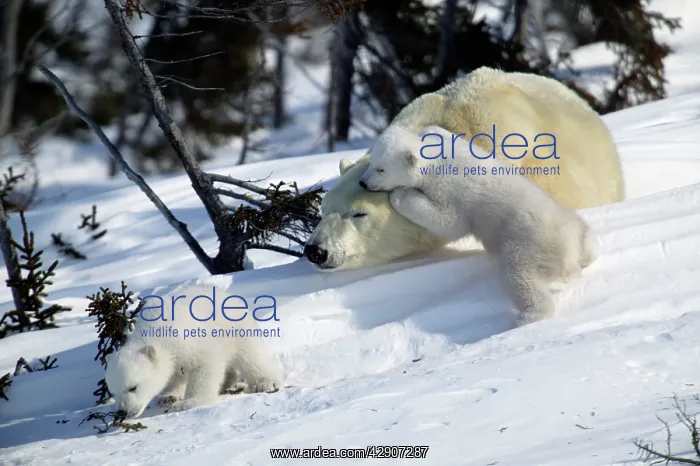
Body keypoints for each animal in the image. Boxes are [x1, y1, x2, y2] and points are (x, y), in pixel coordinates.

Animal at [104, 284, 283, 418]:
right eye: (113, 392)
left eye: (133, 387)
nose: (123, 412)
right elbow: (173, 375)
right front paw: (168, 397)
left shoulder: (192, 341)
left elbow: (204, 368)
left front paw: (186, 403)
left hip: (236, 329)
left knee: (250, 356)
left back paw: (265, 382)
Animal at [359, 125, 598, 326]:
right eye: (372, 163)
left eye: (381, 169)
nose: (363, 182)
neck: (439, 162)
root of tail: (570, 254)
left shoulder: (451, 190)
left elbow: (449, 221)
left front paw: (400, 194)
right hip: (572, 225)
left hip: (529, 244)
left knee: (518, 275)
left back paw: (527, 316)